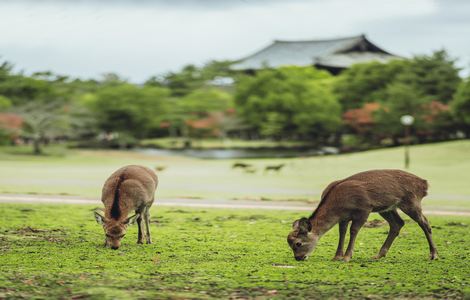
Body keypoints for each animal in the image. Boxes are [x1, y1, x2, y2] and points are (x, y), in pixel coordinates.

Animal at [286, 170, 436, 262]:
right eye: (289, 243)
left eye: (298, 243)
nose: (299, 258)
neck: (338, 204)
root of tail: (424, 184)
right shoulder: (343, 217)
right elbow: (342, 232)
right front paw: (337, 257)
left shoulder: (364, 209)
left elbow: (353, 231)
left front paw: (347, 257)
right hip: (386, 209)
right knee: (398, 223)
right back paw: (378, 255)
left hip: (411, 202)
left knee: (425, 222)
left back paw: (433, 254)